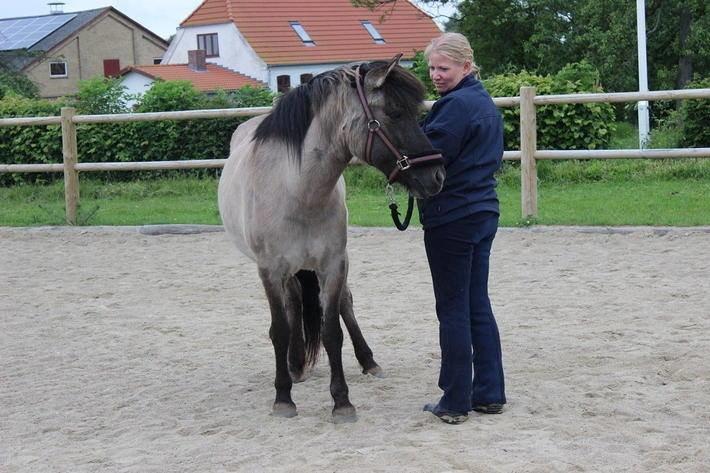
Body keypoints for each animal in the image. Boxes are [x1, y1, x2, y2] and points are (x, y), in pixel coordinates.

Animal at [220, 53, 448, 422]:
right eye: (395, 113)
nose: (437, 175)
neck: (297, 189)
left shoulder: (333, 265)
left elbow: (331, 331)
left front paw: (342, 401)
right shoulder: (270, 270)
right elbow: (279, 330)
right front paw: (283, 397)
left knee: (341, 304)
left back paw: (367, 361)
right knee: (294, 302)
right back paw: (295, 364)